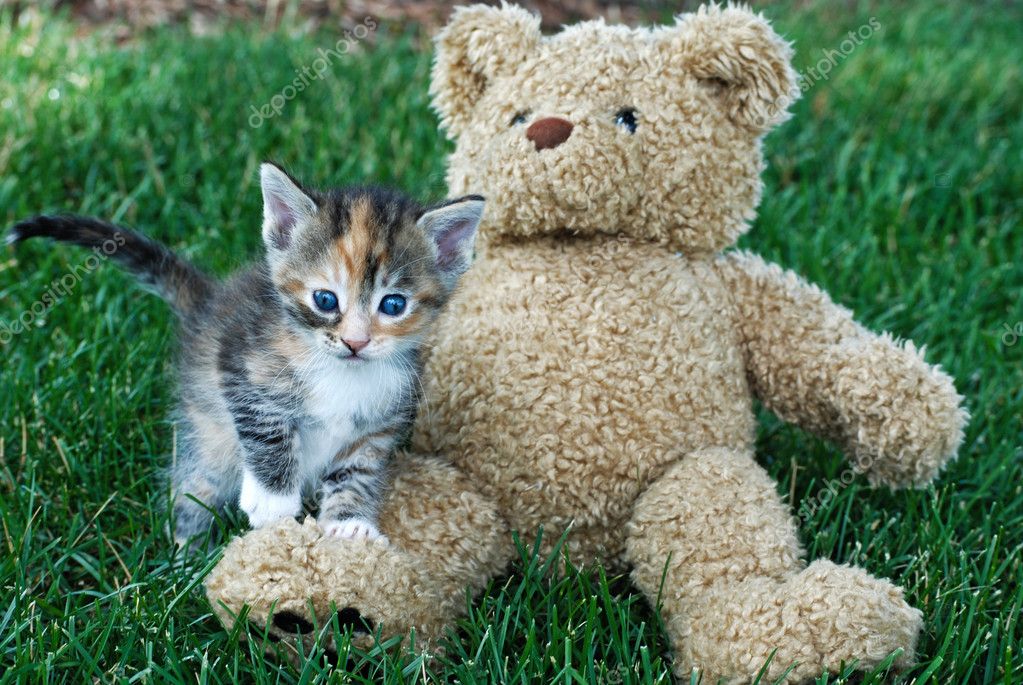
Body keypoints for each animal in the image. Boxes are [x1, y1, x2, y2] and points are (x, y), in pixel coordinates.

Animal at [9, 163, 482, 552]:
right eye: (325, 299)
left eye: (394, 305)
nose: (355, 342)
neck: (339, 371)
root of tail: (208, 304)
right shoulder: (241, 367)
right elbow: (268, 433)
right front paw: (273, 502)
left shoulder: (379, 424)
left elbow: (358, 472)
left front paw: (349, 523)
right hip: (207, 436)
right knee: (193, 487)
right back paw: (186, 559)